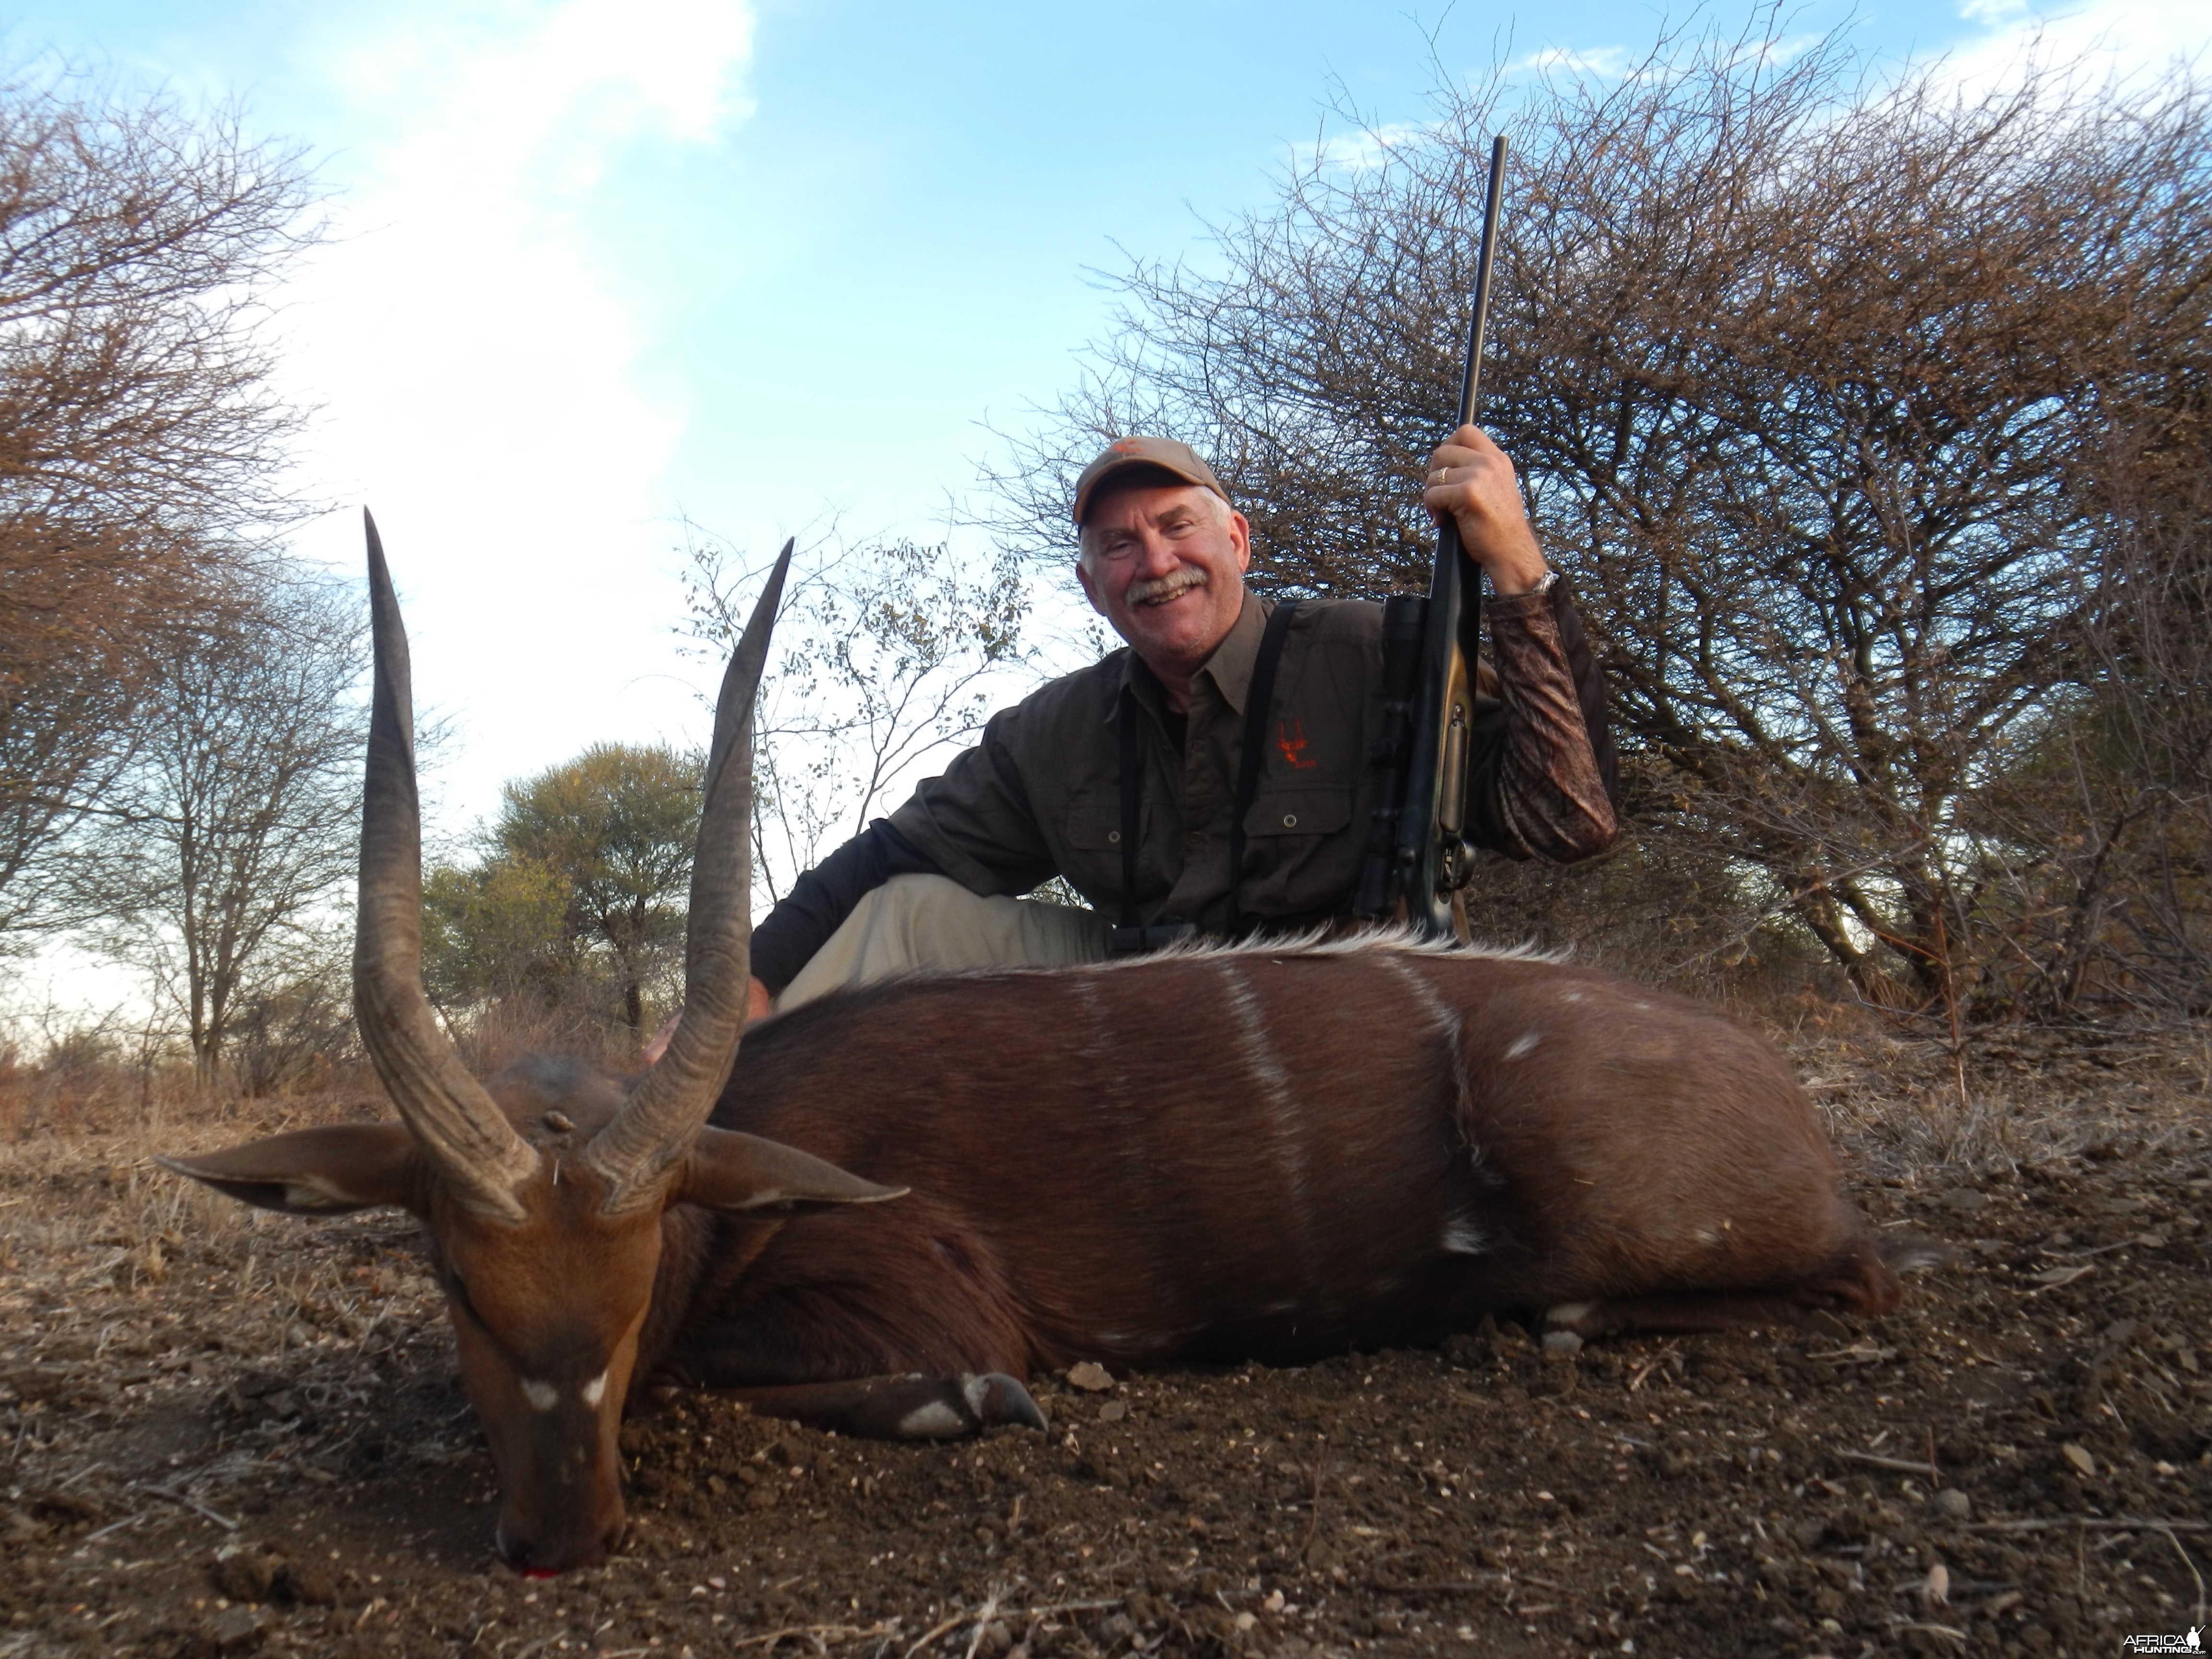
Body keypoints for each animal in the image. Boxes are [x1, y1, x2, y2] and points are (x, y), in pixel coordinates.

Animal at [163, 517, 1911, 1575]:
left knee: (1830, 1284)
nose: (561, 1534)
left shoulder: (926, 1300)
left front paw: (967, 1408)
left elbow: (827, 1375)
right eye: (458, 1280)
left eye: (642, 1270)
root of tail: (1780, 1098)